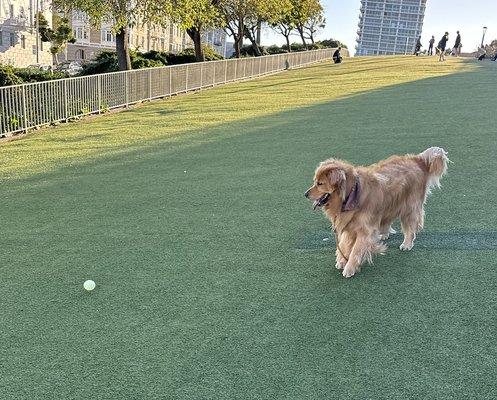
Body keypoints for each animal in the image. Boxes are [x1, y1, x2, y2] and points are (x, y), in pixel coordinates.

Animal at [304, 147, 448, 278]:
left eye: (320, 183)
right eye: (315, 182)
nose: (305, 194)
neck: (352, 193)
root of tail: (416, 159)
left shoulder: (364, 230)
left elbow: (356, 250)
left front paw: (349, 268)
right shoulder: (349, 224)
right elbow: (344, 244)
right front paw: (341, 260)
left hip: (409, 208)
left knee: (410, 229)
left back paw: (407, 244)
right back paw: (383, 234)